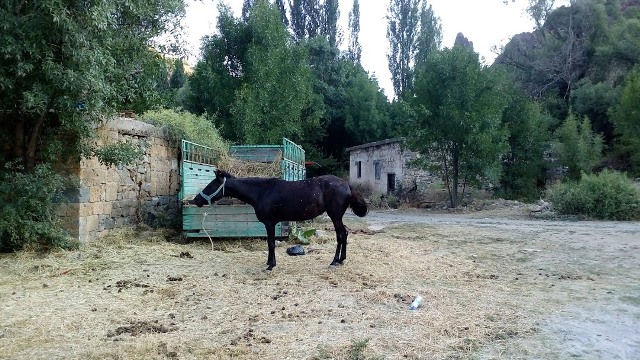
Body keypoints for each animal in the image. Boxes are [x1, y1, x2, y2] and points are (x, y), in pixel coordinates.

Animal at [192, 170, 368, 272]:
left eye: (211, 185)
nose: (196, 200)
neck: (261, 192)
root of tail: (347, 185)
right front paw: (269, 262)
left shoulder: (270, 223)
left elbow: (271, 243)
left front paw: (271, 265)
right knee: (344, 234)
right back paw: (341, 260)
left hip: (335, 216)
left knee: (341, 235)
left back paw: (335, 261)